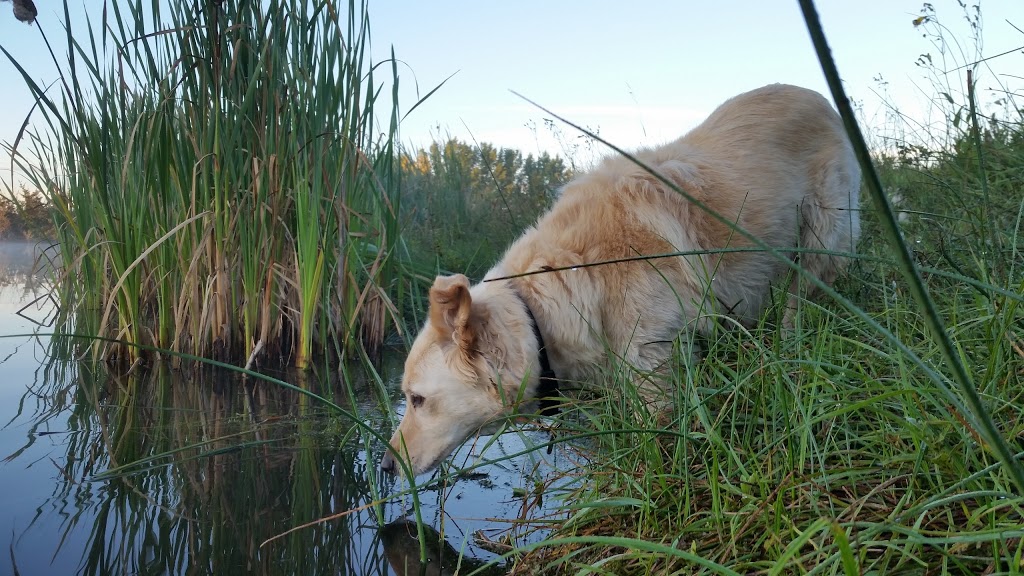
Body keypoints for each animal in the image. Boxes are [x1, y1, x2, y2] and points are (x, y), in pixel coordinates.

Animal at [380, 83, 860, 473]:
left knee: (801, 304)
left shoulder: (656, 363)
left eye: (417, 399)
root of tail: (815, 94)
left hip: (821, 244)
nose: (385, 467)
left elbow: (660, 443)